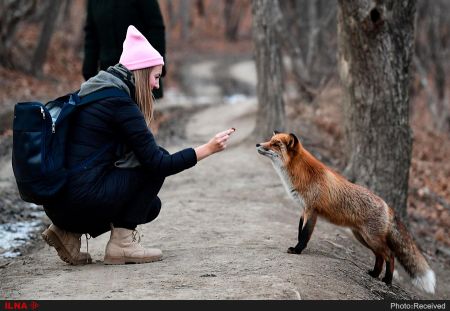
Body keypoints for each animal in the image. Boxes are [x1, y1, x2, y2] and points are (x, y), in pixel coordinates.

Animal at [256, 132, 436, 294]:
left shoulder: (311, 210)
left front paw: (298, 250)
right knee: (380, 256)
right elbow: (300, 231)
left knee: (390, 255)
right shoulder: (303, 210)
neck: (302, 174)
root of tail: (387, 206)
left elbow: (305, 235)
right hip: (363, 238)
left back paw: (387, 280)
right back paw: (374, 274)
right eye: (270, 140)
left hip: (371, 238)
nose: (258, 144)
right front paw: (297, 248)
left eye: (275, 144)